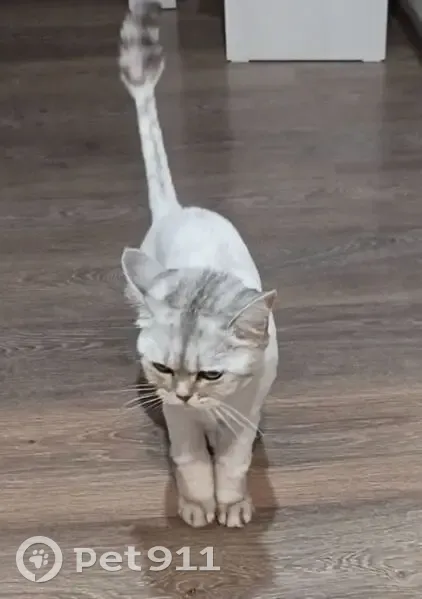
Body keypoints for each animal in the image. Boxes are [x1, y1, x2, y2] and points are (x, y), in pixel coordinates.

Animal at [118, 0, 278, 528]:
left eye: (211, 375)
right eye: (163, 367)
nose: (187, 393)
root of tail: (178, 209)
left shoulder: (245, 405)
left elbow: (233, 460)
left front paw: (231, 504)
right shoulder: (176, 413)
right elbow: (190, 460)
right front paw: (196, 505)